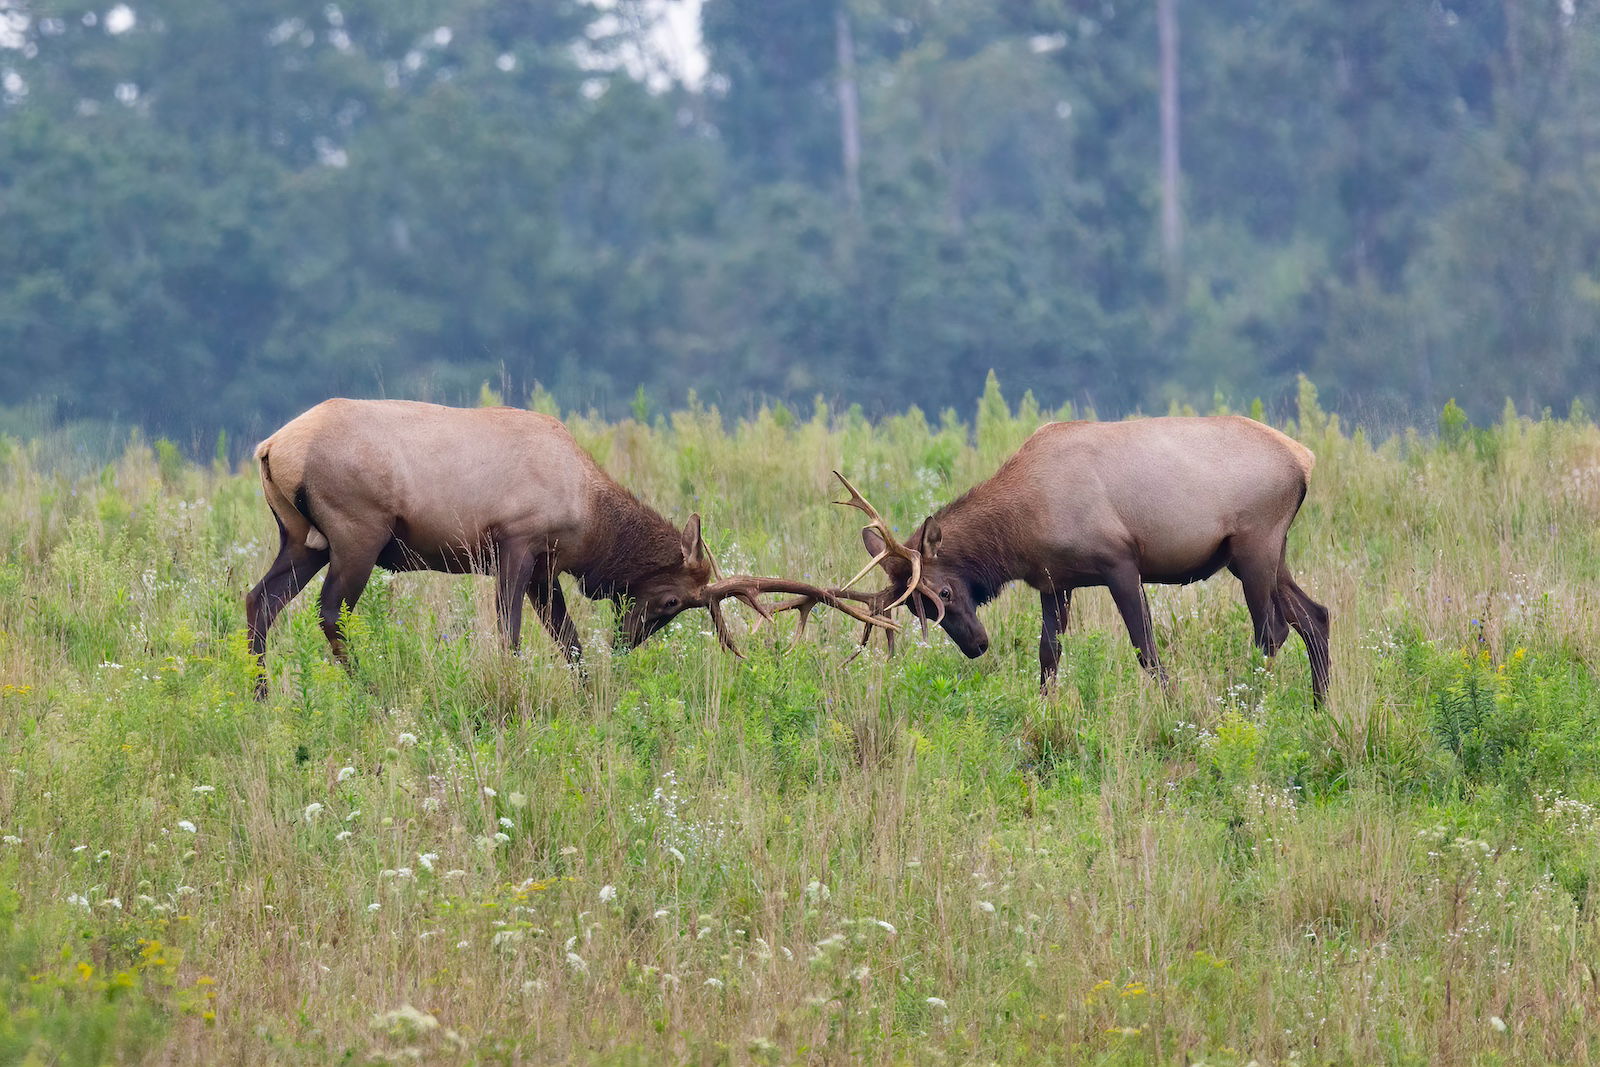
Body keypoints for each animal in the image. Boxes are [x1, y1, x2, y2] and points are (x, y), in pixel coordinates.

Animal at [245, 398, 894, 698]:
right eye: (670, 602)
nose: (627, 642)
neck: (590, 520)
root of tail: (271, 446)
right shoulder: (516, 542)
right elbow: (510, 636)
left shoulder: (544, 567)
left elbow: (568, 640)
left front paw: (589, 691)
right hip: (357, 531)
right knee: (332, 612)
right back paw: (370, 690)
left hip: (303, 539)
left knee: (259, 602)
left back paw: (260, 696)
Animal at [823, 416, 1331, 704]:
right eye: (917, 609)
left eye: (944, 591)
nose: (976, 645)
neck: (1019, 531)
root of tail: (1305, 460)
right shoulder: (1054, 581)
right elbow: (1049, 653)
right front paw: (1044, 709)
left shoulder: (1120, 562)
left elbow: (1145, 647)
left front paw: (1174, 705)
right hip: (1263, 553)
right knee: (1316, 615)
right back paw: (1320, 707)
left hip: (1255, 545)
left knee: (1273, 630)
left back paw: (1252, 704)